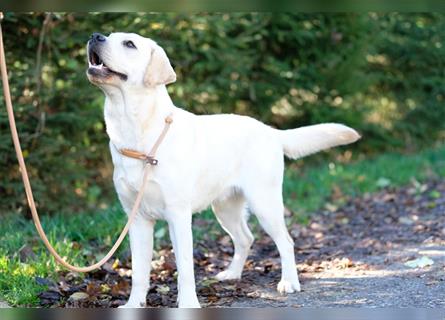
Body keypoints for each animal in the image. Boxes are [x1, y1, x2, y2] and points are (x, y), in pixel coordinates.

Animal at [86, 31, 360, 308]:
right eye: (109, 35)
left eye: (129, 44)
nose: (95, 36)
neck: (136, 132)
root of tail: (271, 131)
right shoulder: (137, 219)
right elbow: (139, 272)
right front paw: (134, 305)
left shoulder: (178, 215)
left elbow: (185, 267)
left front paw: (188, 304)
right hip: (225, 208)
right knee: (245, 238)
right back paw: (232, 274)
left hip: (265, 203)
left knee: (286, 241)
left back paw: (289, 282)